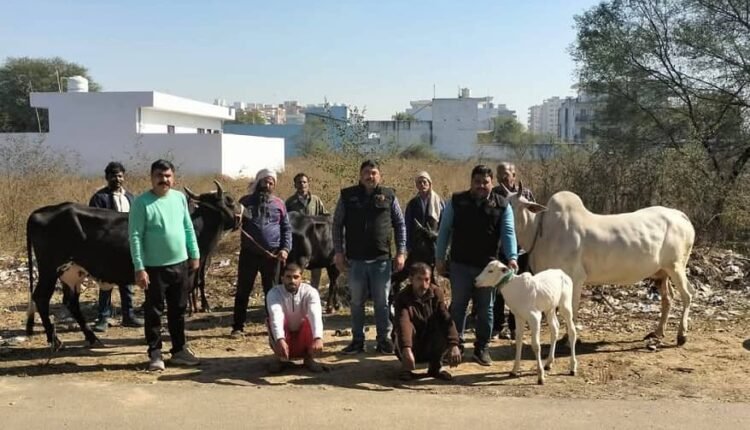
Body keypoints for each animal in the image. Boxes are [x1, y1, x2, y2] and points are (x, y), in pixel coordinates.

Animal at [25, 181, 240, 352]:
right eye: (229, 200)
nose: (241, 214)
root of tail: (39, 212)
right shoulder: (183, 276)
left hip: (73, 272)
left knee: (70, 302)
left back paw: (91, 338)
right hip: (50, 269)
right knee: (41, 298)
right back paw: (56, 341)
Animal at [505, 184, 696, 346]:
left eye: (515, 205)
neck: (540, 231)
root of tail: (681, 216)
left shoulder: (575, 278)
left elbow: (571, 310)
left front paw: (568, 339)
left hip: (676, 266)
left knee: (687, 294)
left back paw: (682, 335)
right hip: (662, 272)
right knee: (668, 299)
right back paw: (658, 332)